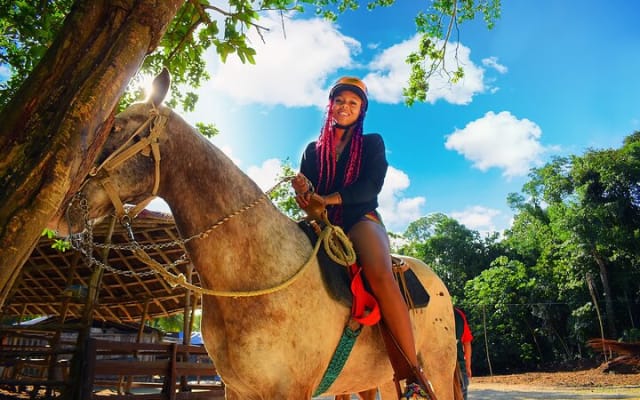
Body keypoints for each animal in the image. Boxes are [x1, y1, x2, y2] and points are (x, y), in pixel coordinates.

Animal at [49, 69, 459, 399]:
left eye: (118, 127)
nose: (64, 209)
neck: (253, 275)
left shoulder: (289, 391)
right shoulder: (237, 389)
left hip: (436, 369)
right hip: (383, 380)